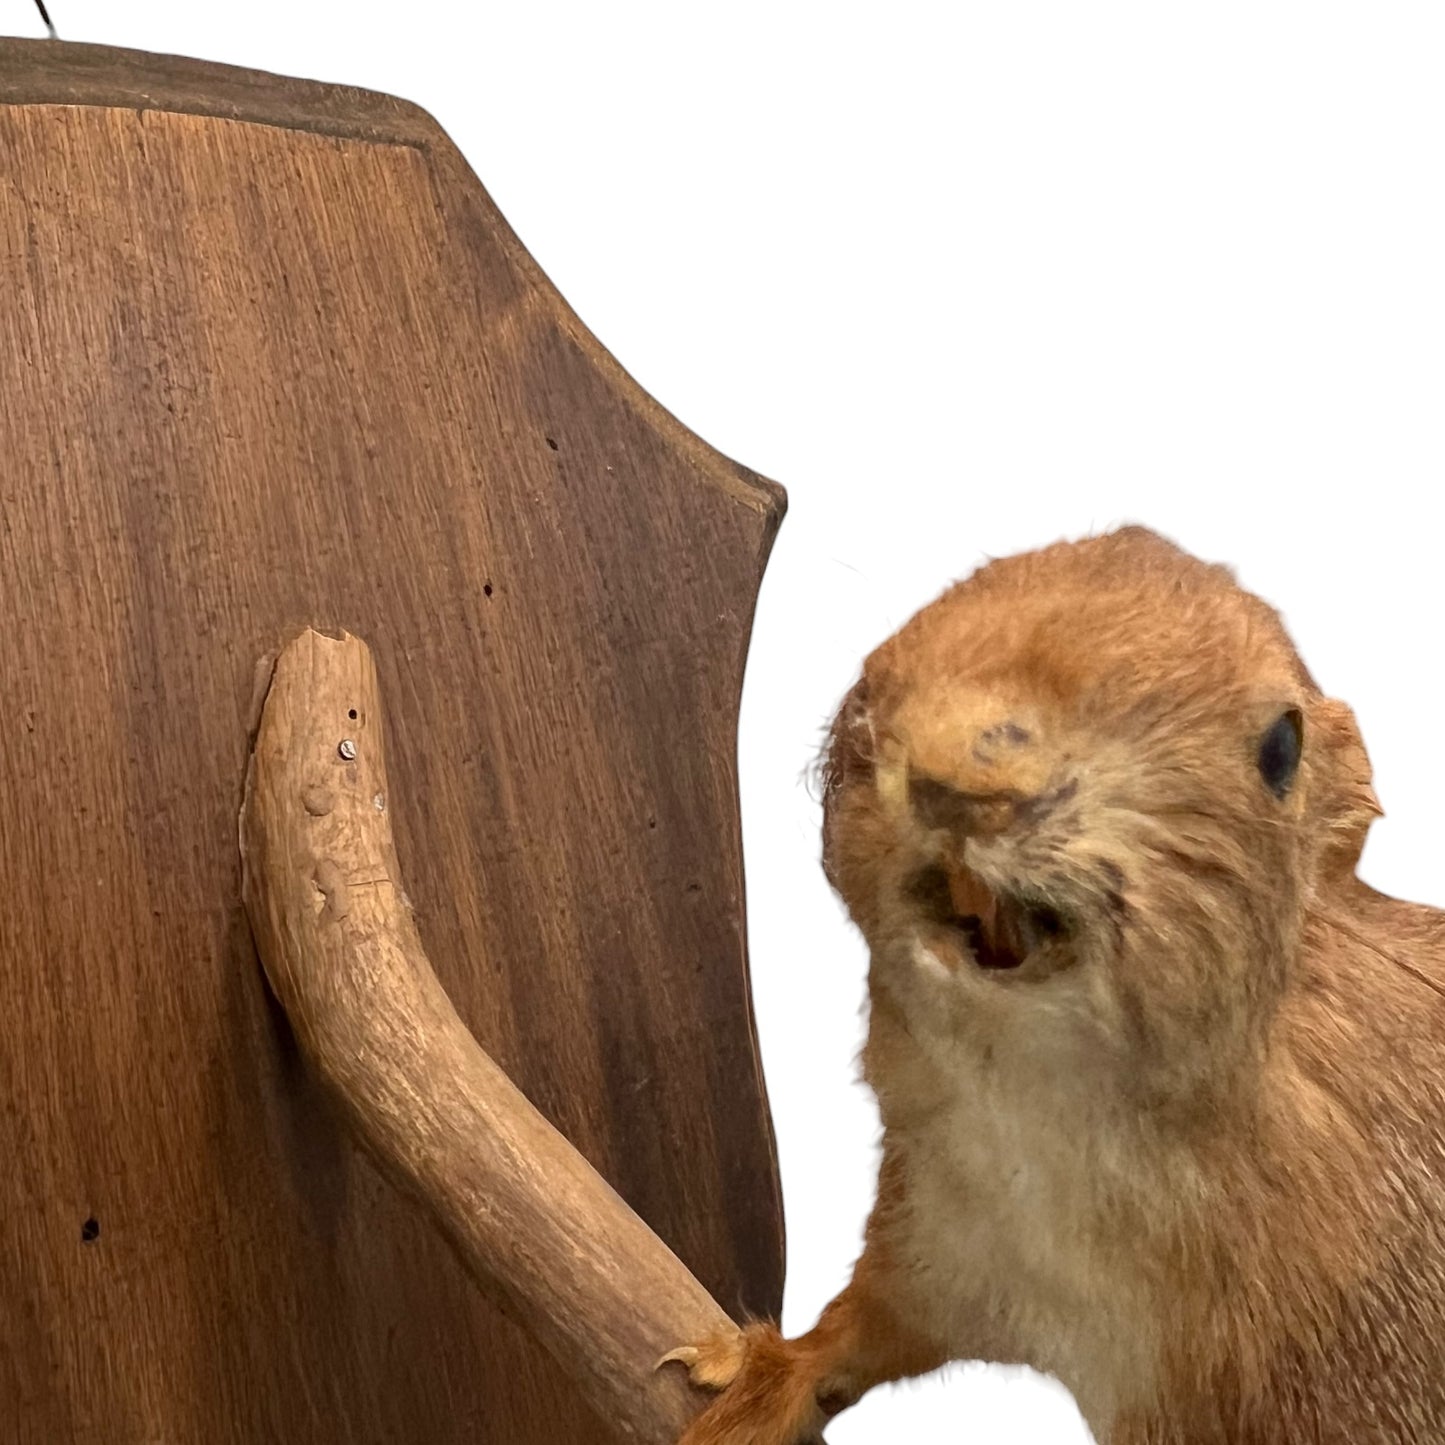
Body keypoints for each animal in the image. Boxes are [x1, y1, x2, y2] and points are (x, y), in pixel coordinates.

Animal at [662, 525, 1445, 1444]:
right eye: (900, 638)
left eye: (1281, 748)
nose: (960, 779)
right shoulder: (941, 1239)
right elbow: (866, 1325)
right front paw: (760, 1377)